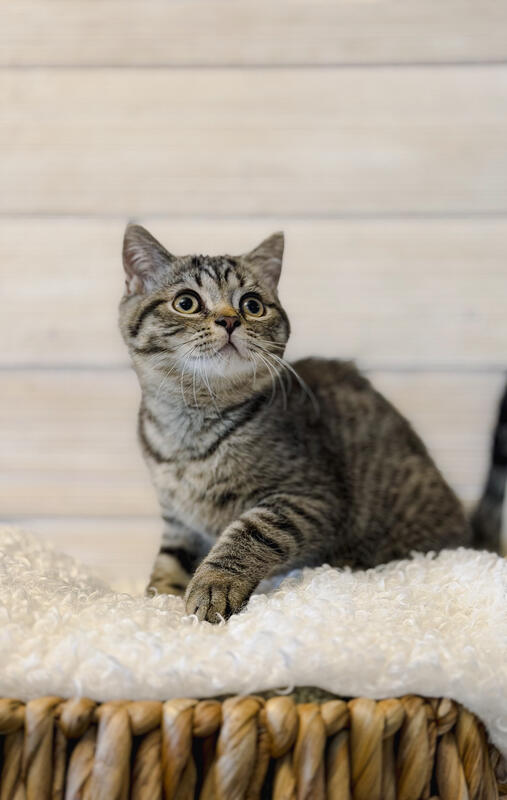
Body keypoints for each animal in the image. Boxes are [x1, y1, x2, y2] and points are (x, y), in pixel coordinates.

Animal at [119, 223, 503, 623]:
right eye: (186, 302)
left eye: (252, 306)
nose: (229, 320)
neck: (190, 427)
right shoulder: (178, 520)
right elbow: (168, 563)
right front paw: (156, 599)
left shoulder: (310, 496)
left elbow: (251, 531)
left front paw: (214, 585)